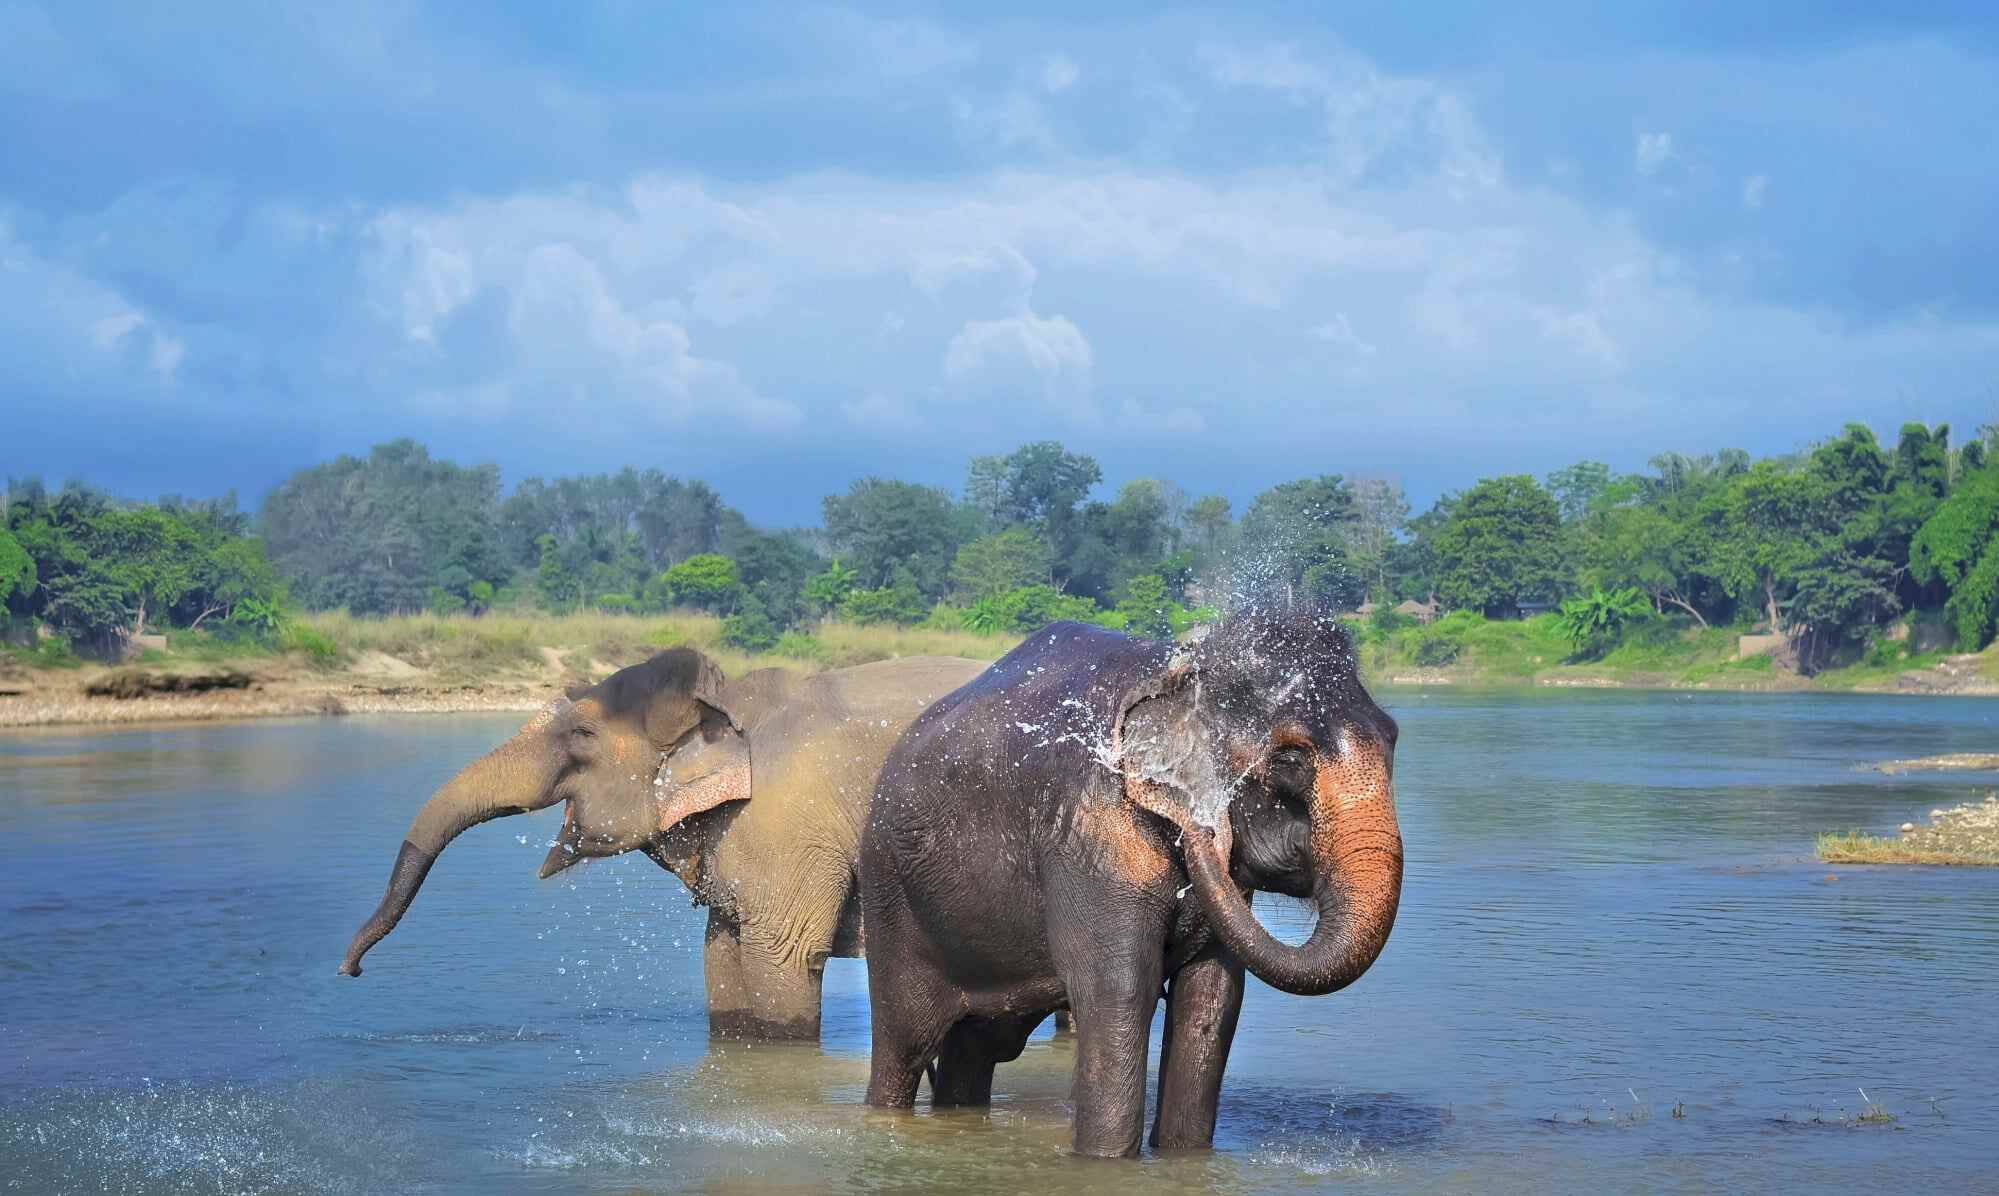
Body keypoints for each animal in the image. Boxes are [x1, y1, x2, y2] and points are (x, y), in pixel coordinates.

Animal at [340, 647, 987, 1040]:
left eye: (582, 733)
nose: (350, 971)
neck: (730, 702)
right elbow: (720, 953)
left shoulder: (791, 824)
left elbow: (784, 957)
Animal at [859, 611, 1403, 1157]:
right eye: (1291, 759)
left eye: (1393, 740)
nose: (1206, 829)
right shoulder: (1093, 836)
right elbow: (1119, 990)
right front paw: (1105, 1163)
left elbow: (1211, 1000)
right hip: (891, 900)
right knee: (905, 1046)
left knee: (977, 1048)